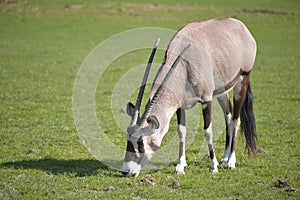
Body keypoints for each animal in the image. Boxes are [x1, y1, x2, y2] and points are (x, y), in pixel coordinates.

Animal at [120, 18, 256, 176]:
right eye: (128, 138)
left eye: (141, 142)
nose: (125, 171)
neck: (184, 65)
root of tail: (241, 26)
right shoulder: (180, 105)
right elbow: (181, 131)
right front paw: (180, 166)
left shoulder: (206, 100)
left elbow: (207, 131)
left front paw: (213, 167)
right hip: (223, 90)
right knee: (228, 116)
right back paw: (225, 157)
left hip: (243, 80)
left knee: (235, 120)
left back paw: (231, 161)